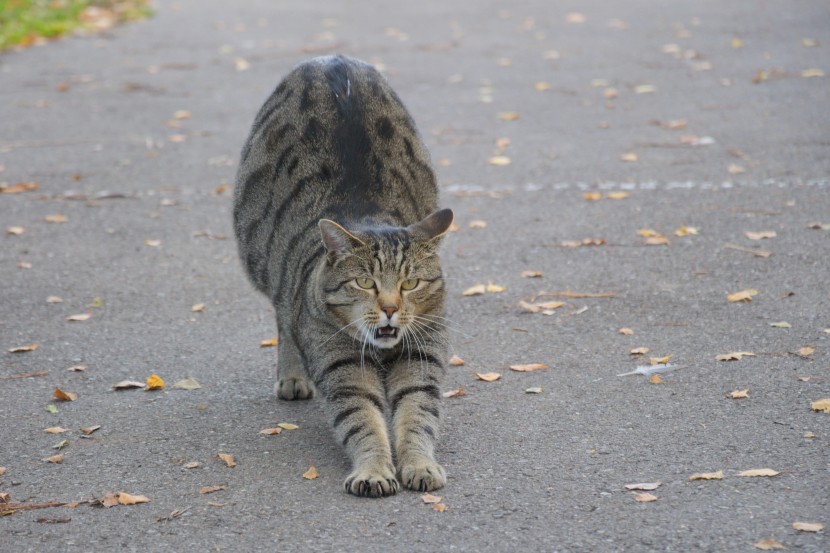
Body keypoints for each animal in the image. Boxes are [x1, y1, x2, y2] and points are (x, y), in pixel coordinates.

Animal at [232, 55, 456, 496]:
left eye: (410, 283)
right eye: (365, 282)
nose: (390, 309)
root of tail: (329, 59)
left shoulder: (421, 355)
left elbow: (417, 415)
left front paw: (420, 464)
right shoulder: (343, 368)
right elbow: (362, 421)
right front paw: (374, 470)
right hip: (264, 262)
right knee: (283, 316)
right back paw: (292, 376)